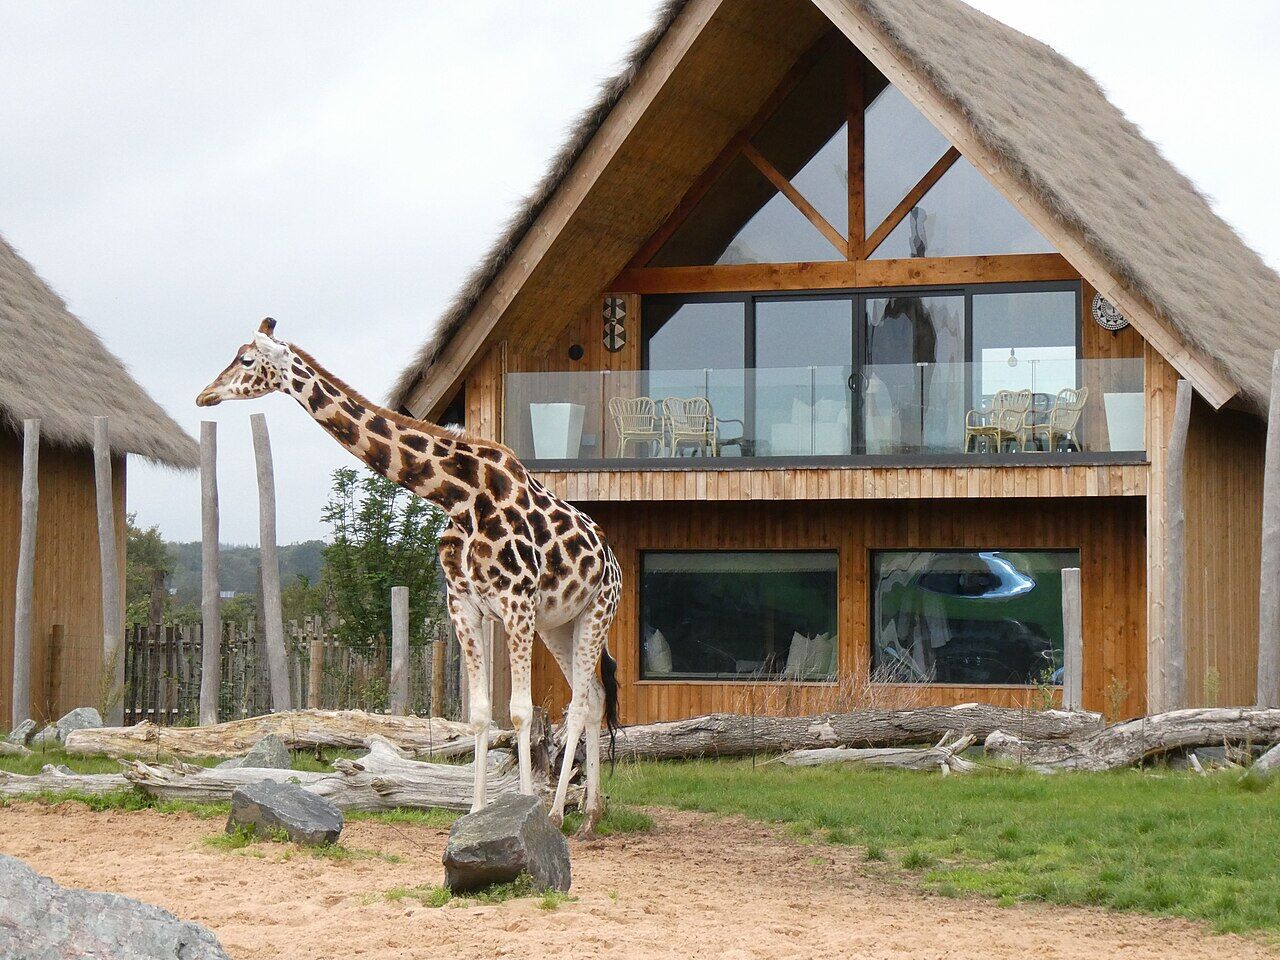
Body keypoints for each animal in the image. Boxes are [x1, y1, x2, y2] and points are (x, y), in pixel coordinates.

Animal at [196, 319, 621, 833]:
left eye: (245, 360)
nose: (204, 395)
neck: (459, 496)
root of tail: (613, 562)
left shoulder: (516, 602)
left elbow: (519, 712)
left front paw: (526, 810)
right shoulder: (465, 606)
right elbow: (481, 715)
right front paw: (476, 812)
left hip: (596, 611)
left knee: (579, 702)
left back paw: (560, 812)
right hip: (559, 624)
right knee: (593, 696)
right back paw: (590, 814)